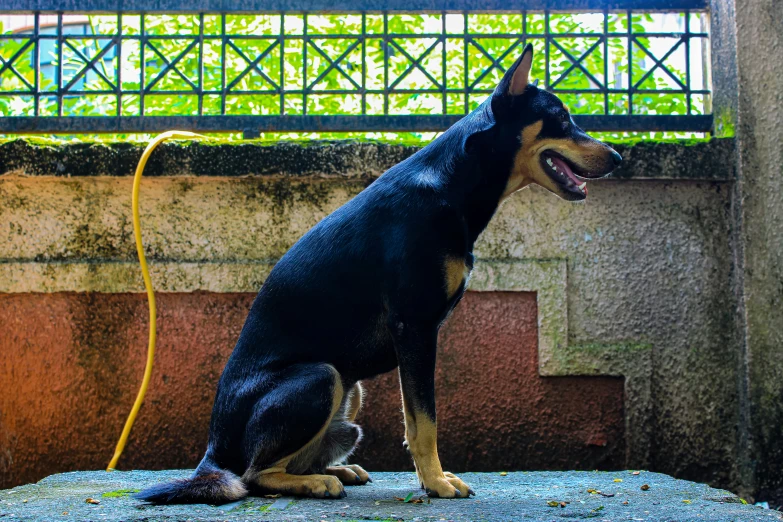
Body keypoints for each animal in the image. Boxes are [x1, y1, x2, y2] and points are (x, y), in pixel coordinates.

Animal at [138, 44, 620, 504]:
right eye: (561, 119)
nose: (617, 156)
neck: (451, 184)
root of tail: (212, 451)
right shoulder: (415, 328)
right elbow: (423, 422)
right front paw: (436, 483)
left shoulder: (416, 336)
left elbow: (417, 418)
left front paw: (431, 479)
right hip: (322, 376)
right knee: (254, 475)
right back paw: (316, 482)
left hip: (351, 393)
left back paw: (334, 470)